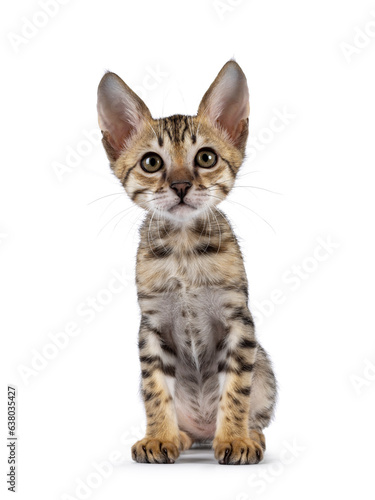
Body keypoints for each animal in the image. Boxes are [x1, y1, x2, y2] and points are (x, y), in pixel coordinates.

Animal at [98, 61, 278, 464]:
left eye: (206, 158)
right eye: (151, 162)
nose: (180, 185)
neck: (183, 251)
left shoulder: (239, 322)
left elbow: (236, 390)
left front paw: (234, 439)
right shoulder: (151, 328)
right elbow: (155, 392)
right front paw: (160, 437)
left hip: (265, 369)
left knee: (256, 414)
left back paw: (249, 436)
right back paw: (180, 436)